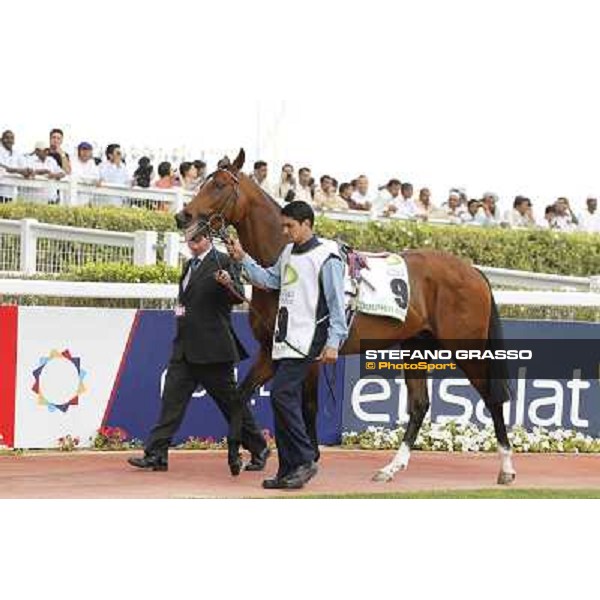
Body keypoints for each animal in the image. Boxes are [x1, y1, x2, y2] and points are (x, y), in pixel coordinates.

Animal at [173, 149, 516, 482]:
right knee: (419, 405)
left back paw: (506, 468)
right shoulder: (271, 350)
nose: (182, 215)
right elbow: (240, 396)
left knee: (491, 397)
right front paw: (239, 458)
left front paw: (307, 459)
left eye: (219, 185)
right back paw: (391, 468)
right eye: (203, 181)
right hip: (416, 345)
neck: (288, 260)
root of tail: (473, 271)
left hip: (467, 347)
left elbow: (307, 406)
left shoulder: (307, 353)